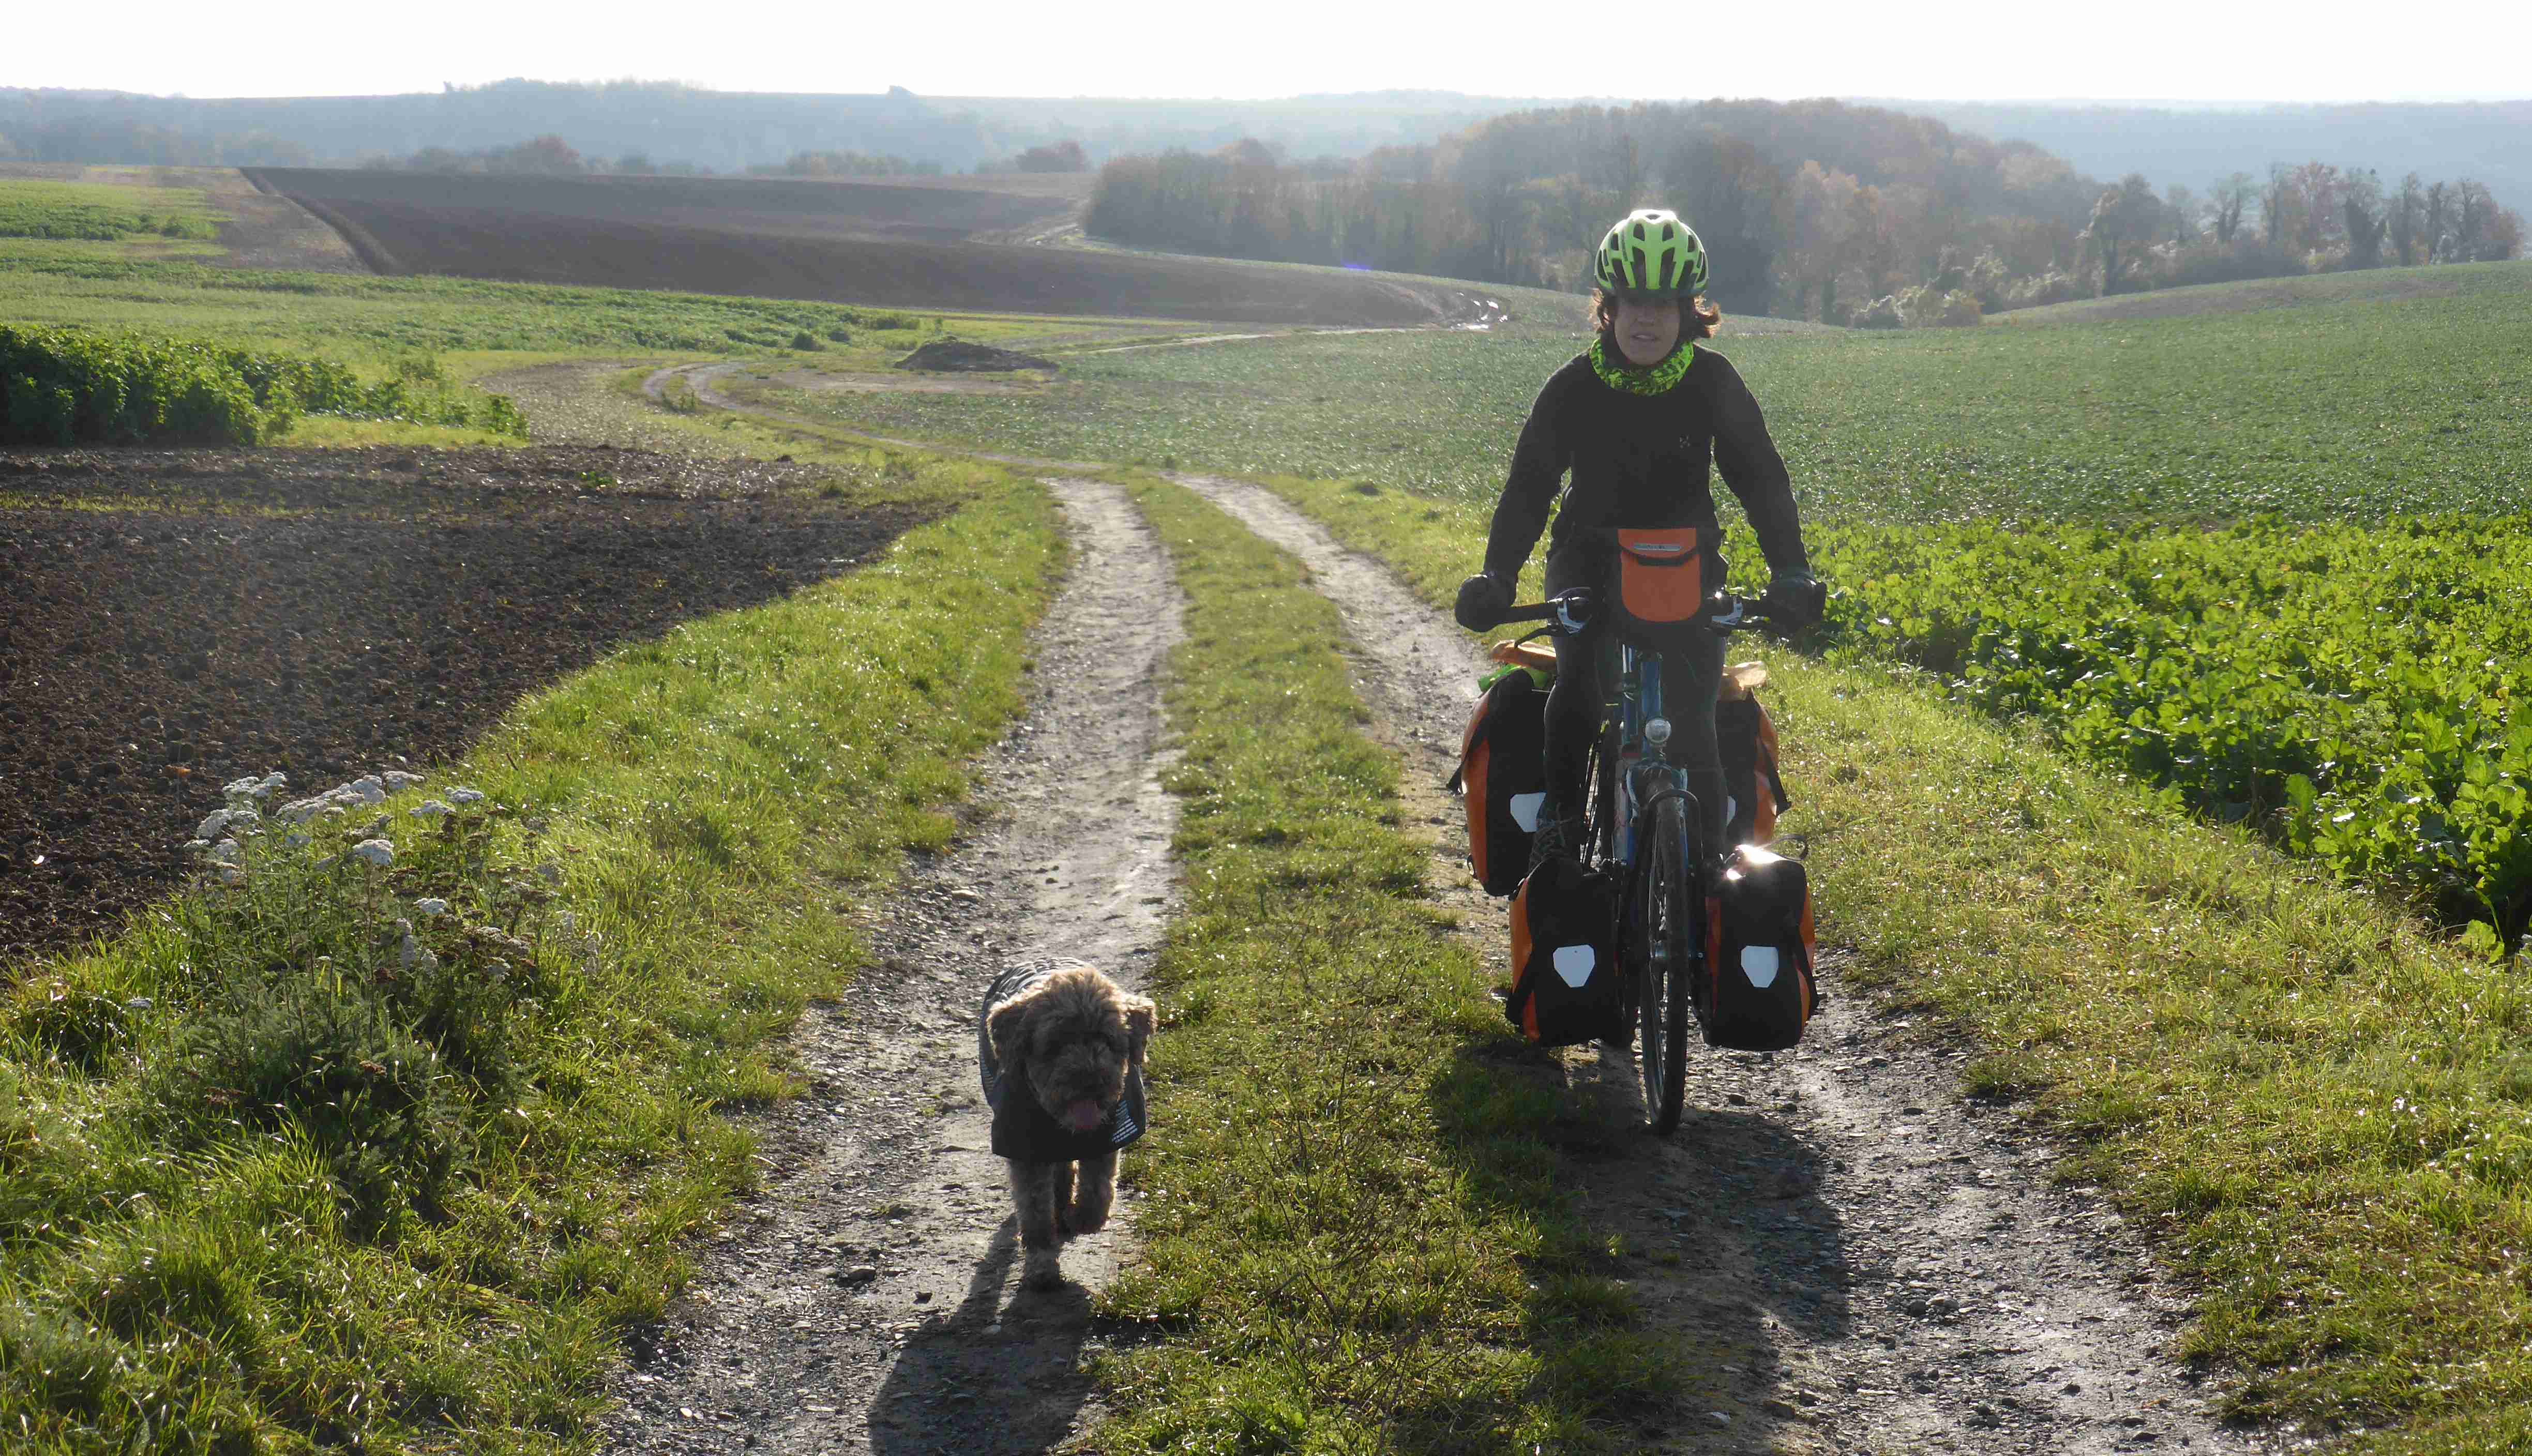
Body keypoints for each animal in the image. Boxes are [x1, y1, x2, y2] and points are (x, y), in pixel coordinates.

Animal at [977, 962, 1159, 1291]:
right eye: (1055, 1044)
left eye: (1107, 1040)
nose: (1090, 1080)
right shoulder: (1025, 1151)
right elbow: (1035, 1212)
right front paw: (1042, 1266)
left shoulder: (1106, 1138)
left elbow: (1099, 1190)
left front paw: (1083, 1219)